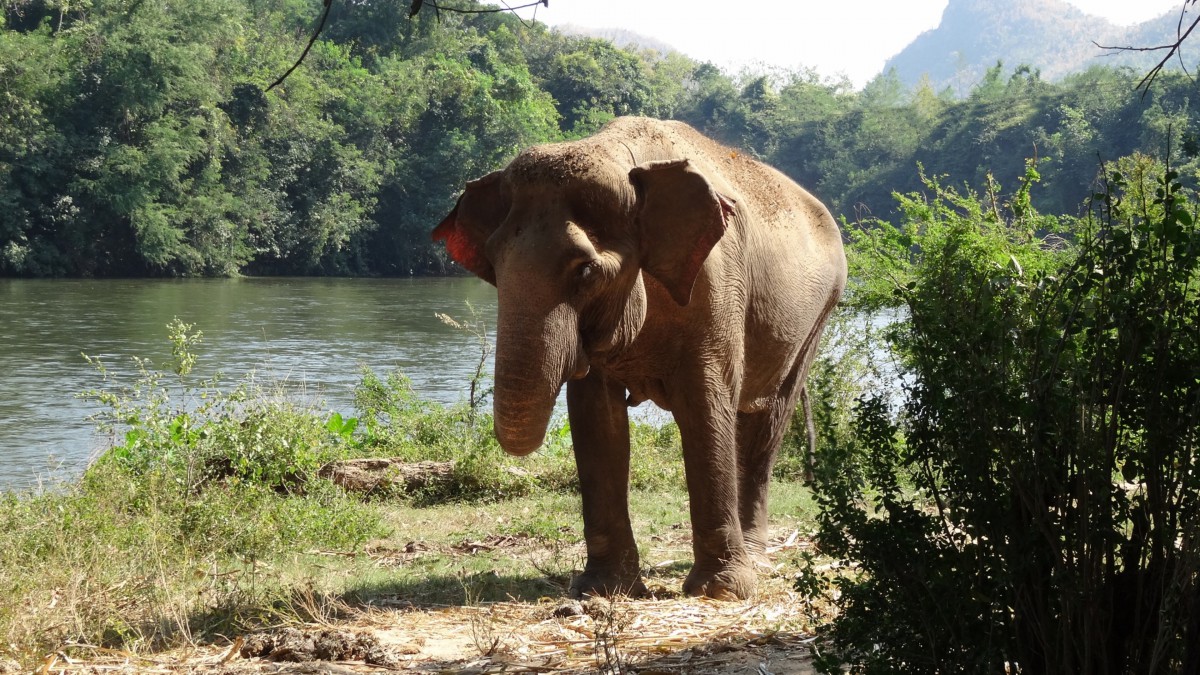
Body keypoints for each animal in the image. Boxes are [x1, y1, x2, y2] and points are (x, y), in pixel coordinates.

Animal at [432, 117, 844, 598]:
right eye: (494, 266)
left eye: (585, 271)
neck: (617, 155)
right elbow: (596, 418)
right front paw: (603, 589)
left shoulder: (718, 286)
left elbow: (706, 404)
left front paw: (720, 592)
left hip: (818, 314)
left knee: (768, 422)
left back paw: (756, 559)